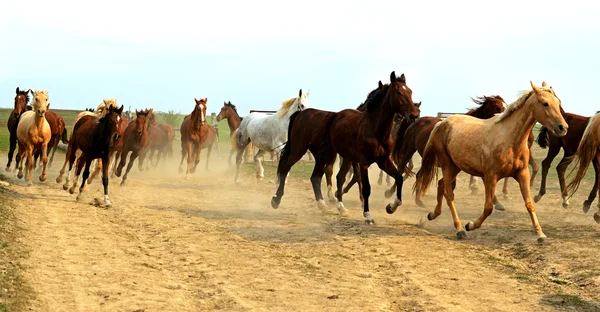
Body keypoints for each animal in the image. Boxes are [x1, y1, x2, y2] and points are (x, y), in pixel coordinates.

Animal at [270, 72, 418, 224]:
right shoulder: (363, 161)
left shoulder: (383, 160)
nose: (414, 115)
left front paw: (391, 207)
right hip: (301, 149)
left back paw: (336, 206)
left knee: (325, 177)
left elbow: (398, 178)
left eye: (410, 92)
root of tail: (300, 114)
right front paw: (367, 215)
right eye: (399, 92)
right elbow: (365, 186)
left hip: (329, 155)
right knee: (288, 168)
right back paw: (277, 200)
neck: (374, 130)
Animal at [412, 81, 568, 243]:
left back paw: (433, 214)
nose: (563, 128)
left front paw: (540, 234)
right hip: (447, 164)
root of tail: (441, 124)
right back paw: (460, 229)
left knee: (441, 185)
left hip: (456, 166)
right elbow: (488, 208)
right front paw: (470, 225)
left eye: (558, 103)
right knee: (449, 194)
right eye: (545, 103)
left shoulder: (523, 174)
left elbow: (529, 204)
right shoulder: (490, 177)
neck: (509, 139)